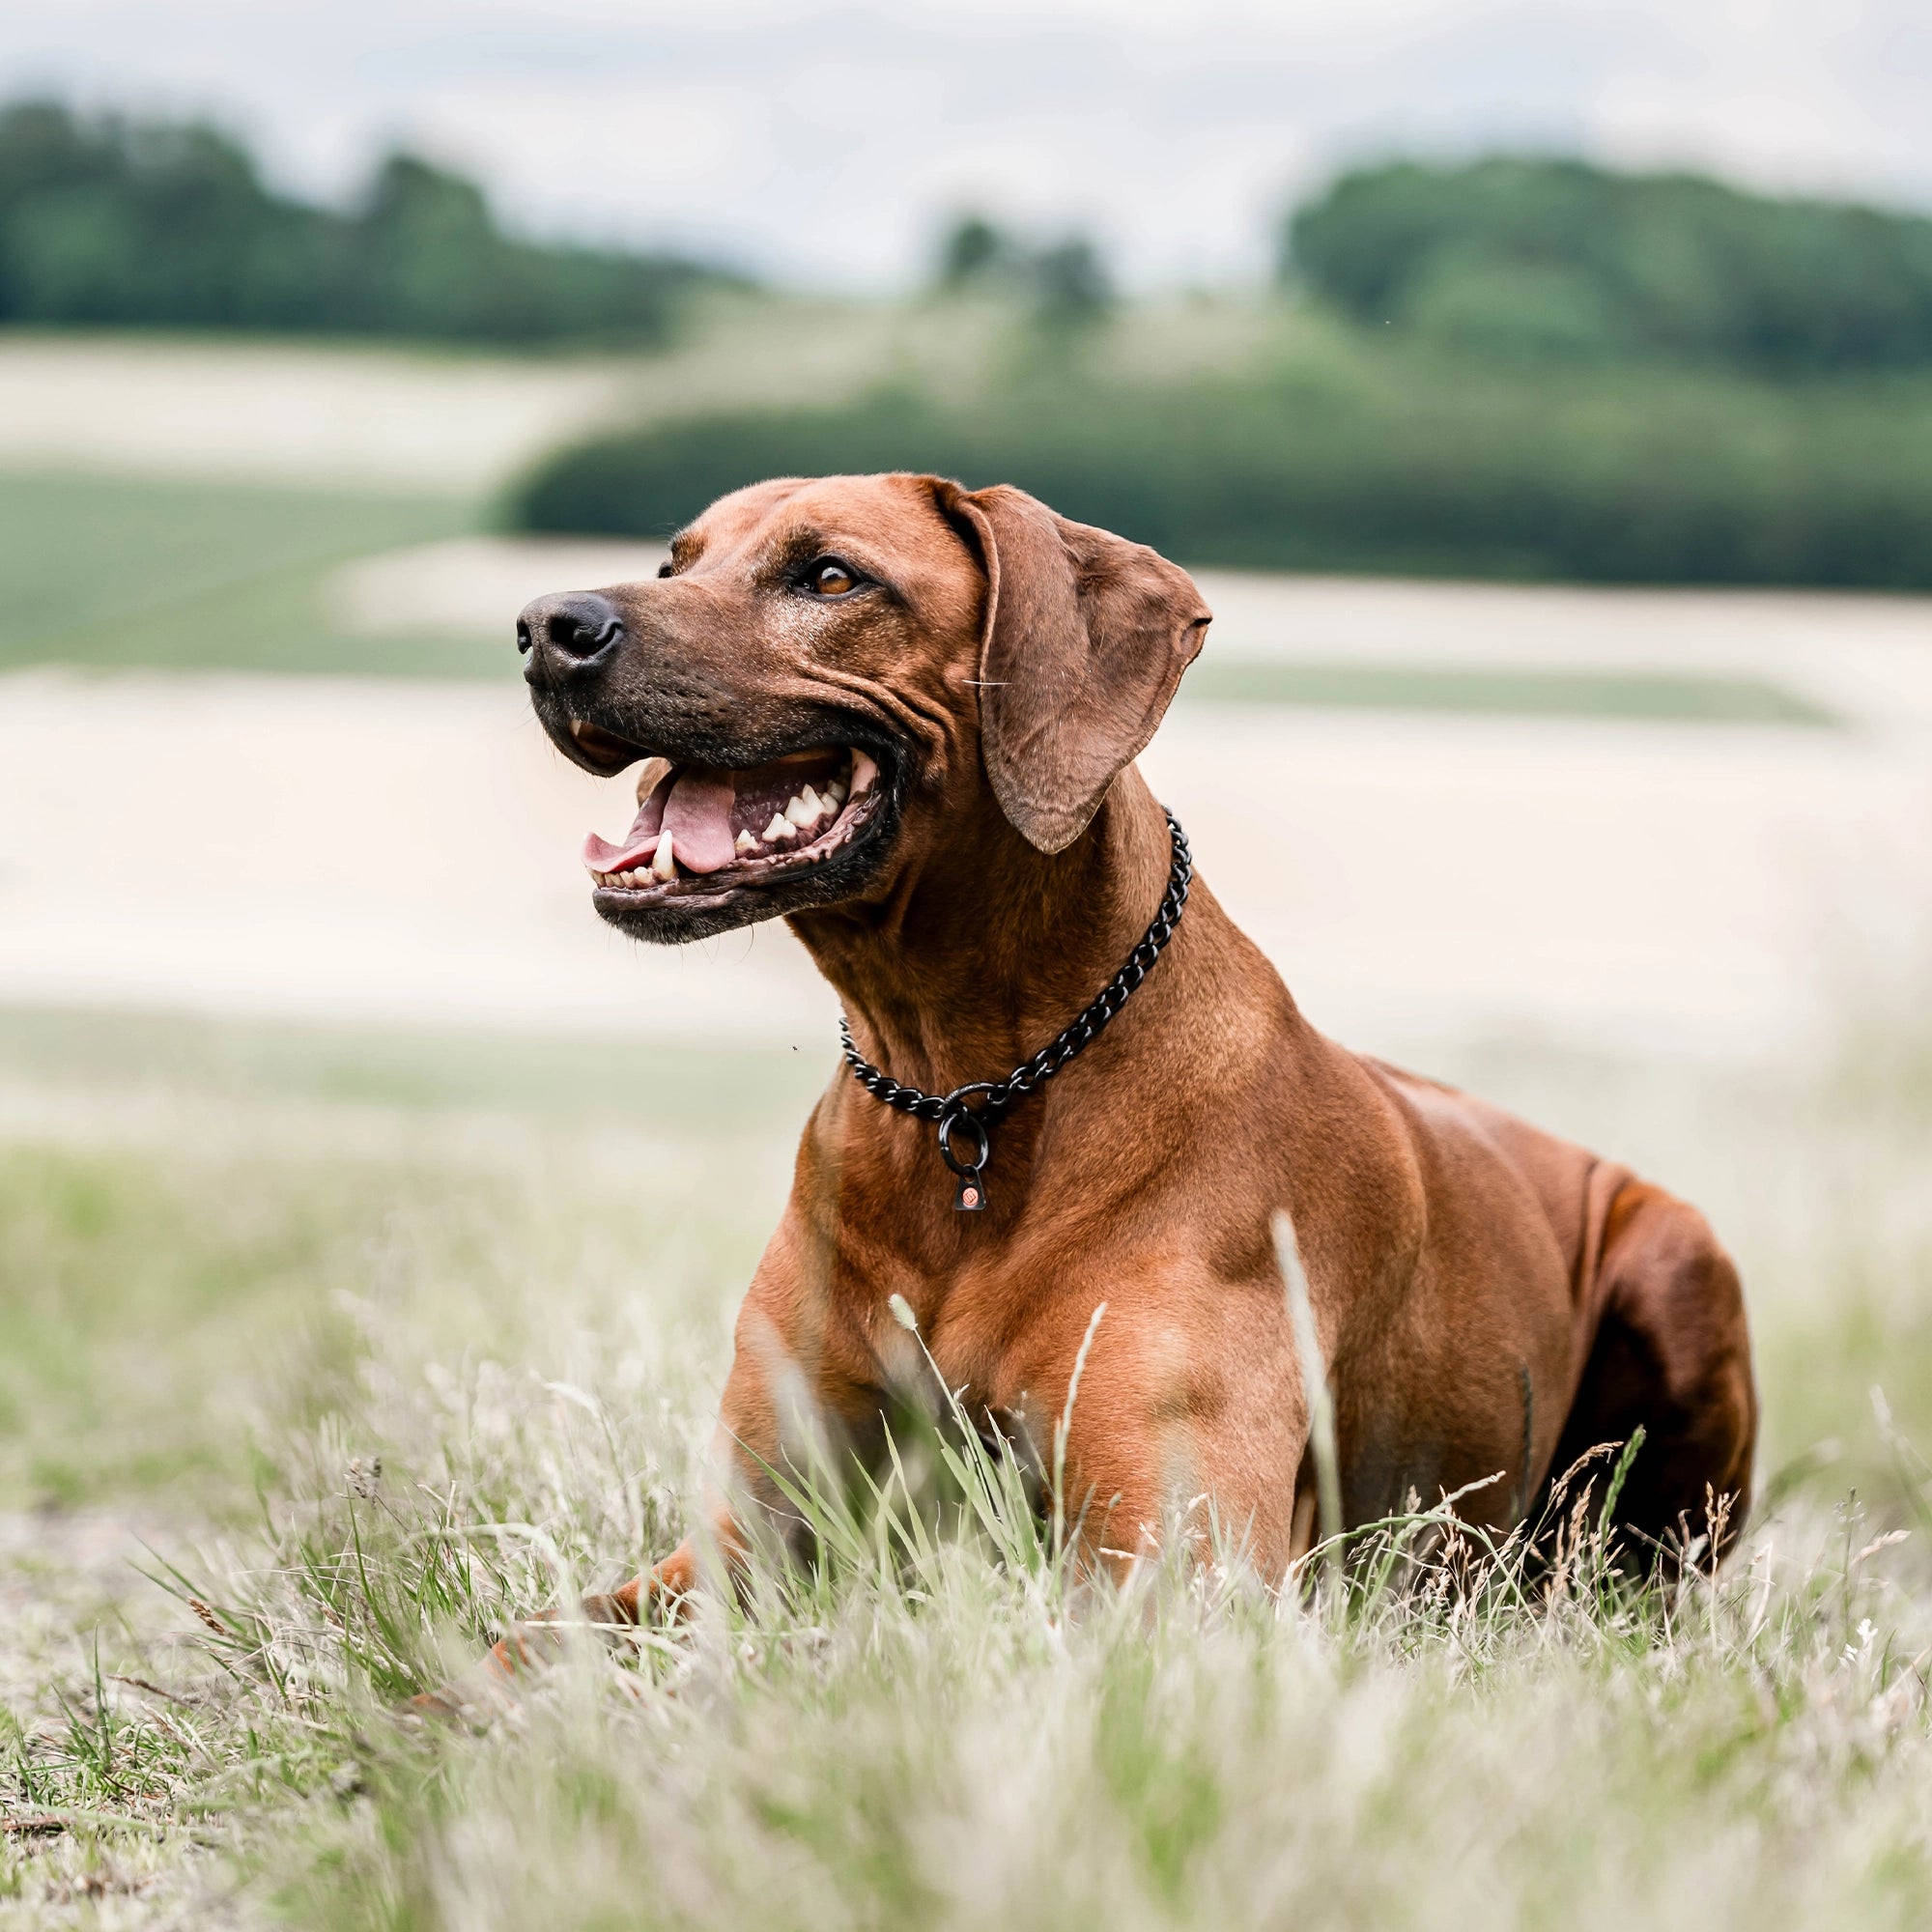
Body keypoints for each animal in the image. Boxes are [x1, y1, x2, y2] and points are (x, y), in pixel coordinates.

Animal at [522, 471, 1762, 1615]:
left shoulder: (1170, 1565)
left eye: (829, 576)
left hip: (1681, 1264)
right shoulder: (743, 1543)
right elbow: (530, 1643)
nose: (544, 626)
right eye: (676, 562)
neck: (964, 1090)